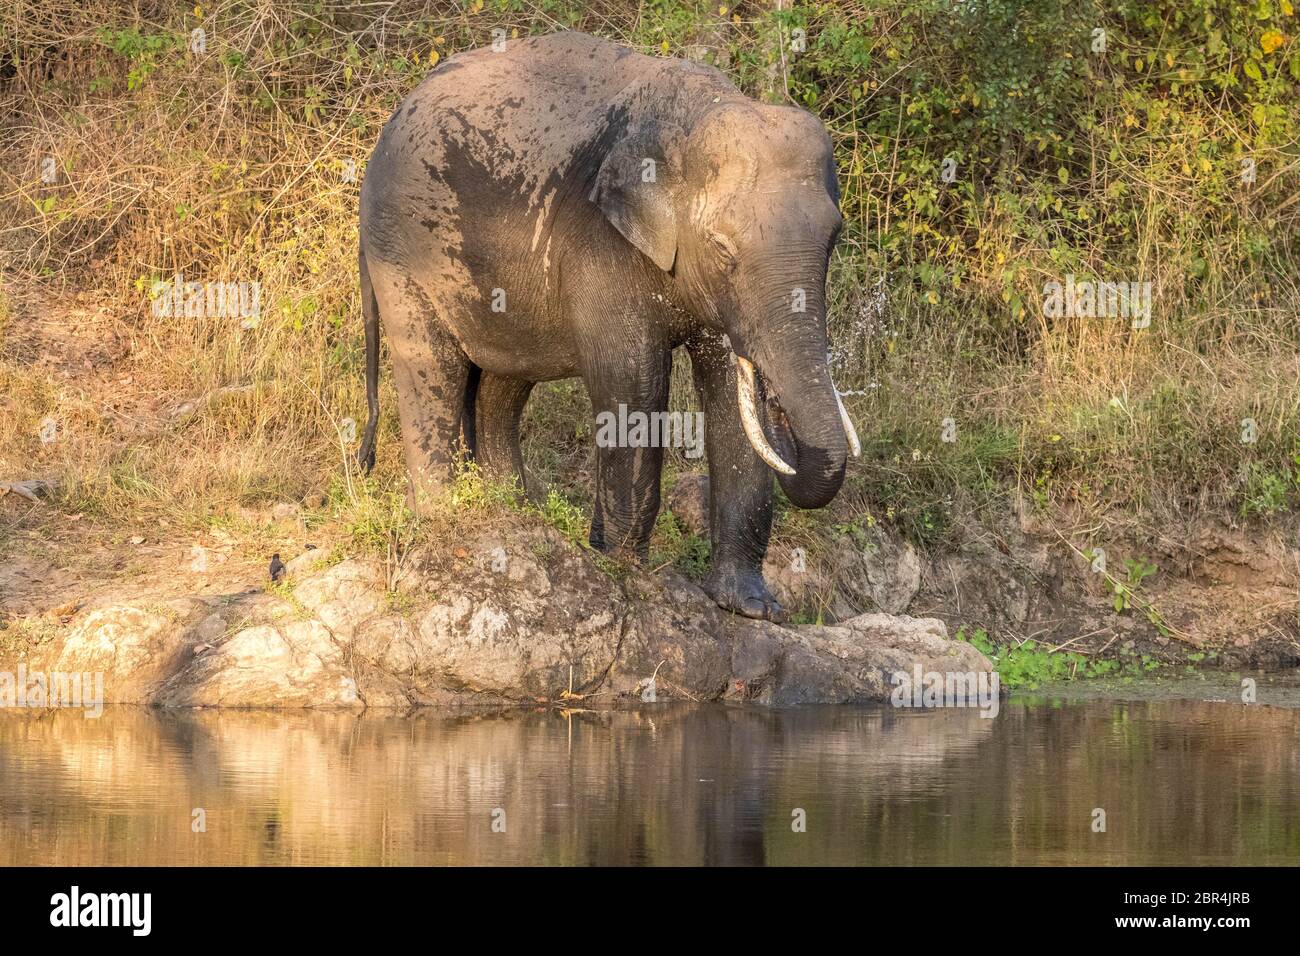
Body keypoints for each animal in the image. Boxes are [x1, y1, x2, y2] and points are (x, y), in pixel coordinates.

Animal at [361, 29, 857, 624]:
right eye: (723, 249)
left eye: (834, 239)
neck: (698, 110)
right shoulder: (600, 242)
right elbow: (633, 386)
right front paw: (629, 576)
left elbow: (729, 401)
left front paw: (752, 608)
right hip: (400, 252)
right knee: (430, 367)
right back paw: (445, 522)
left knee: (501, 387)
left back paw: (513, 518)